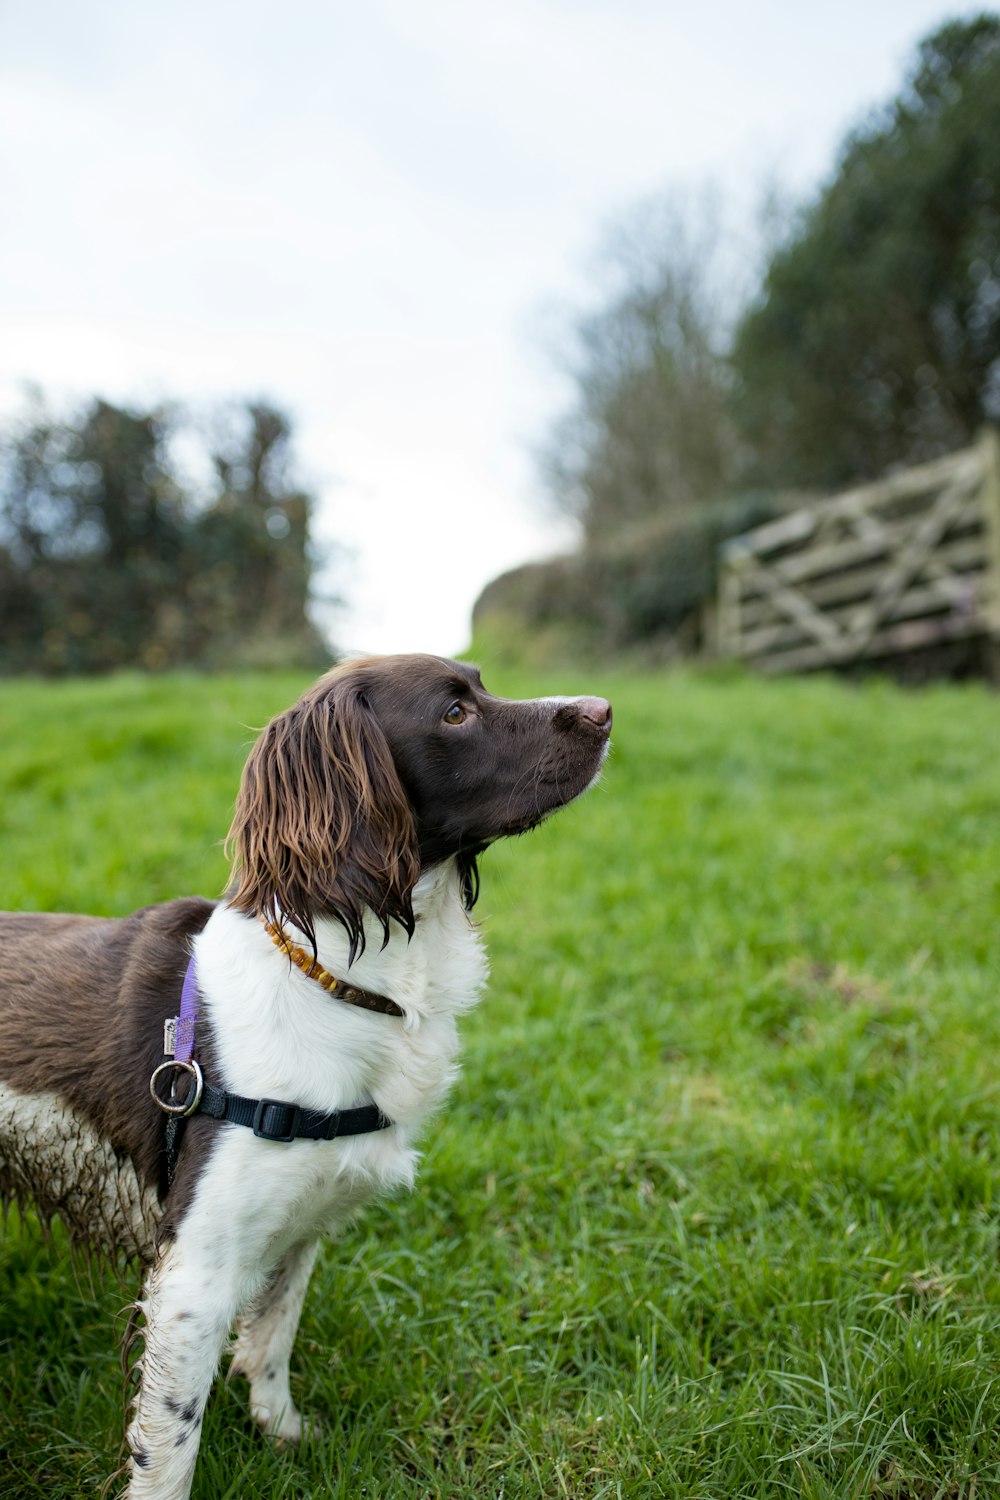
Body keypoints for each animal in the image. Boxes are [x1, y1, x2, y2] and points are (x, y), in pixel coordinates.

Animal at [0, 657, 611, 1500]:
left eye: (480, 684)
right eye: (455, 711)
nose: (605, 709)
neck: (340, 978)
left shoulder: (300, 1219)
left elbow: (273, 1337)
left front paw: (283, 1433)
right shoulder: (192, 1275)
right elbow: (171, 1444)